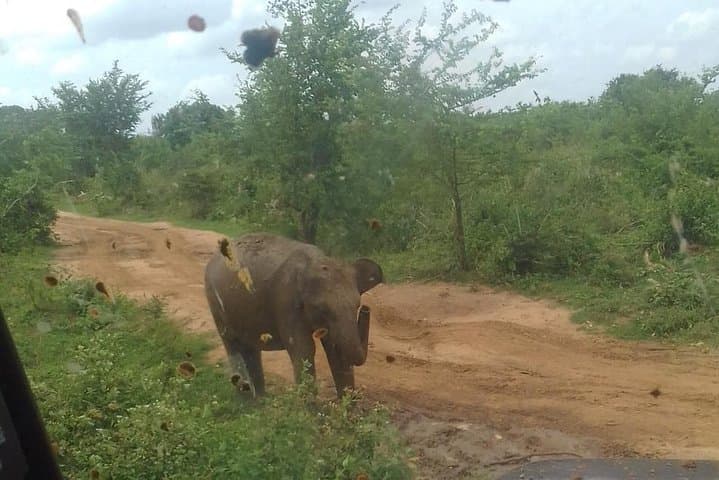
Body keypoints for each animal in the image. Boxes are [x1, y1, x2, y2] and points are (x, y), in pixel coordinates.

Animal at [203, 233, 383, 398]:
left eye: (357, 305)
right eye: (322, 308)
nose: (366, 309)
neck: (314, 262)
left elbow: (335, 350)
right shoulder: (286, 302)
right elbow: (303, 349)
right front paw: (311, 411)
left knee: (251, 348)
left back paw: (260, 401)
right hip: (214, 301)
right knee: (232, 344)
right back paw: (247, 400)